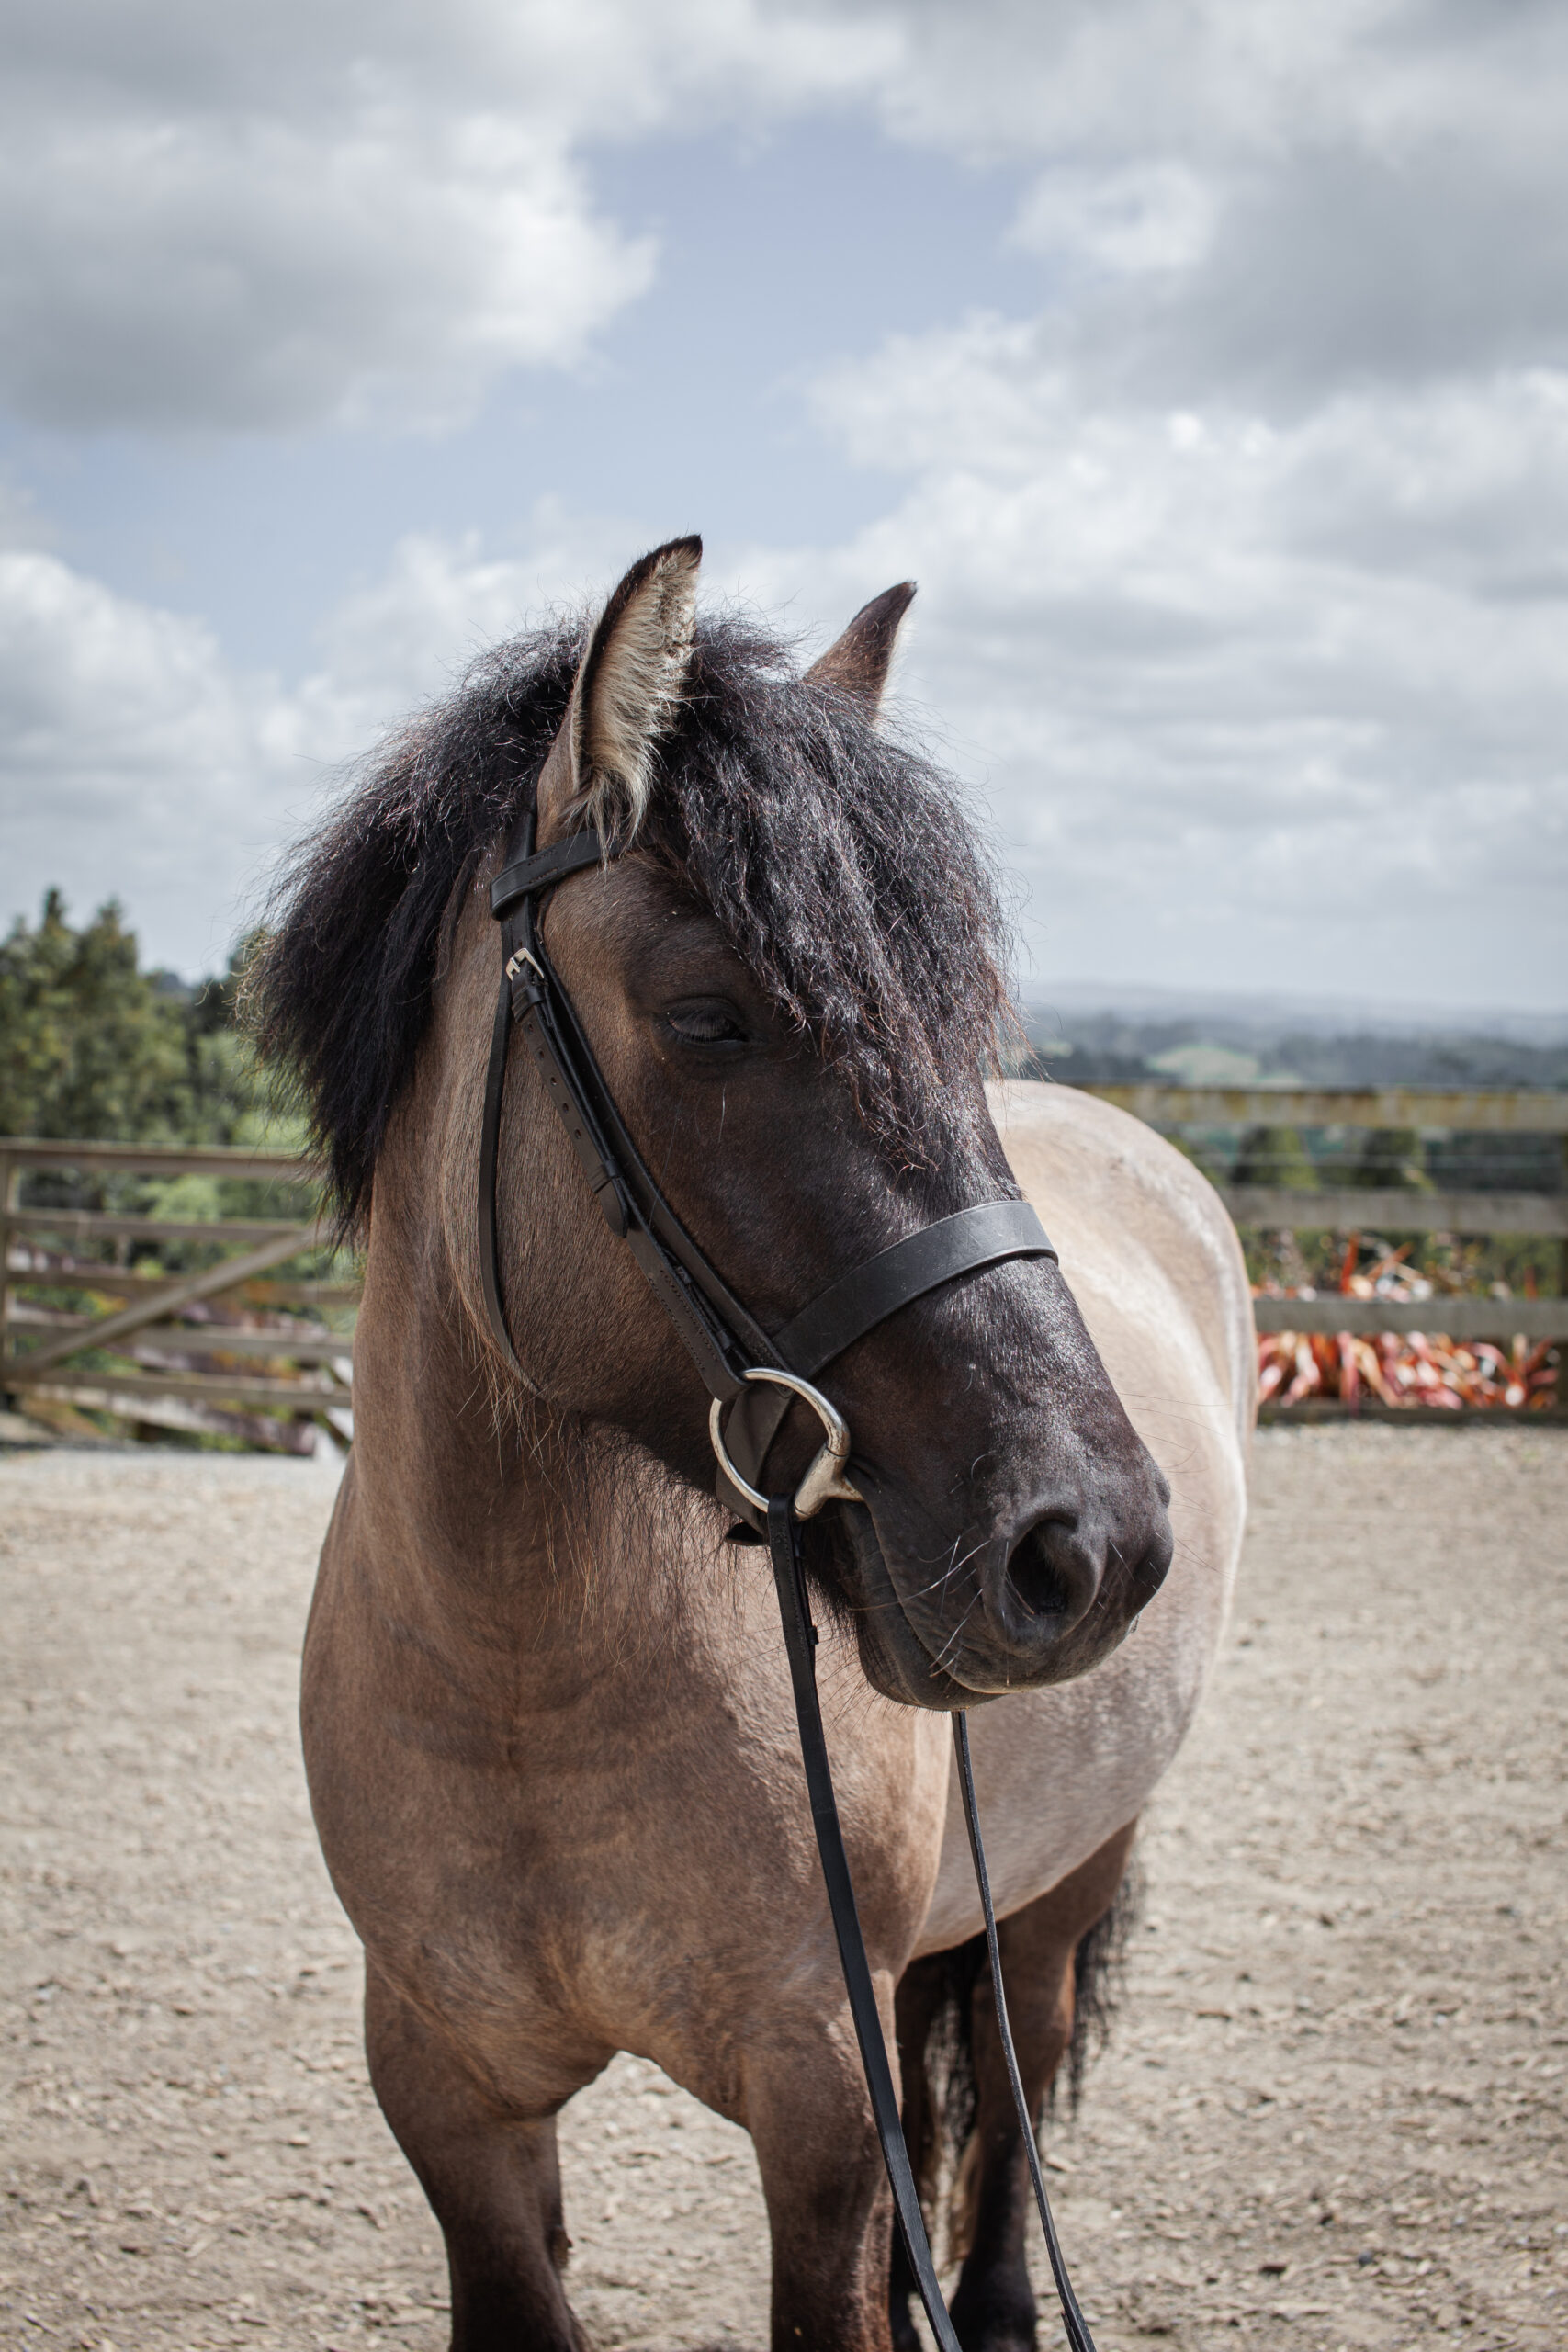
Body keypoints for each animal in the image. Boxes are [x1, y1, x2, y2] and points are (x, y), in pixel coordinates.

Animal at [255, 537, 1251, 2352]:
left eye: (959, 1020)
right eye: (709, 1018)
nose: (1087, 1543)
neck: (529, 1686)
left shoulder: (817, 2113)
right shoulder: (452, 2102)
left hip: (1068, 1879)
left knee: (1014, 2070)